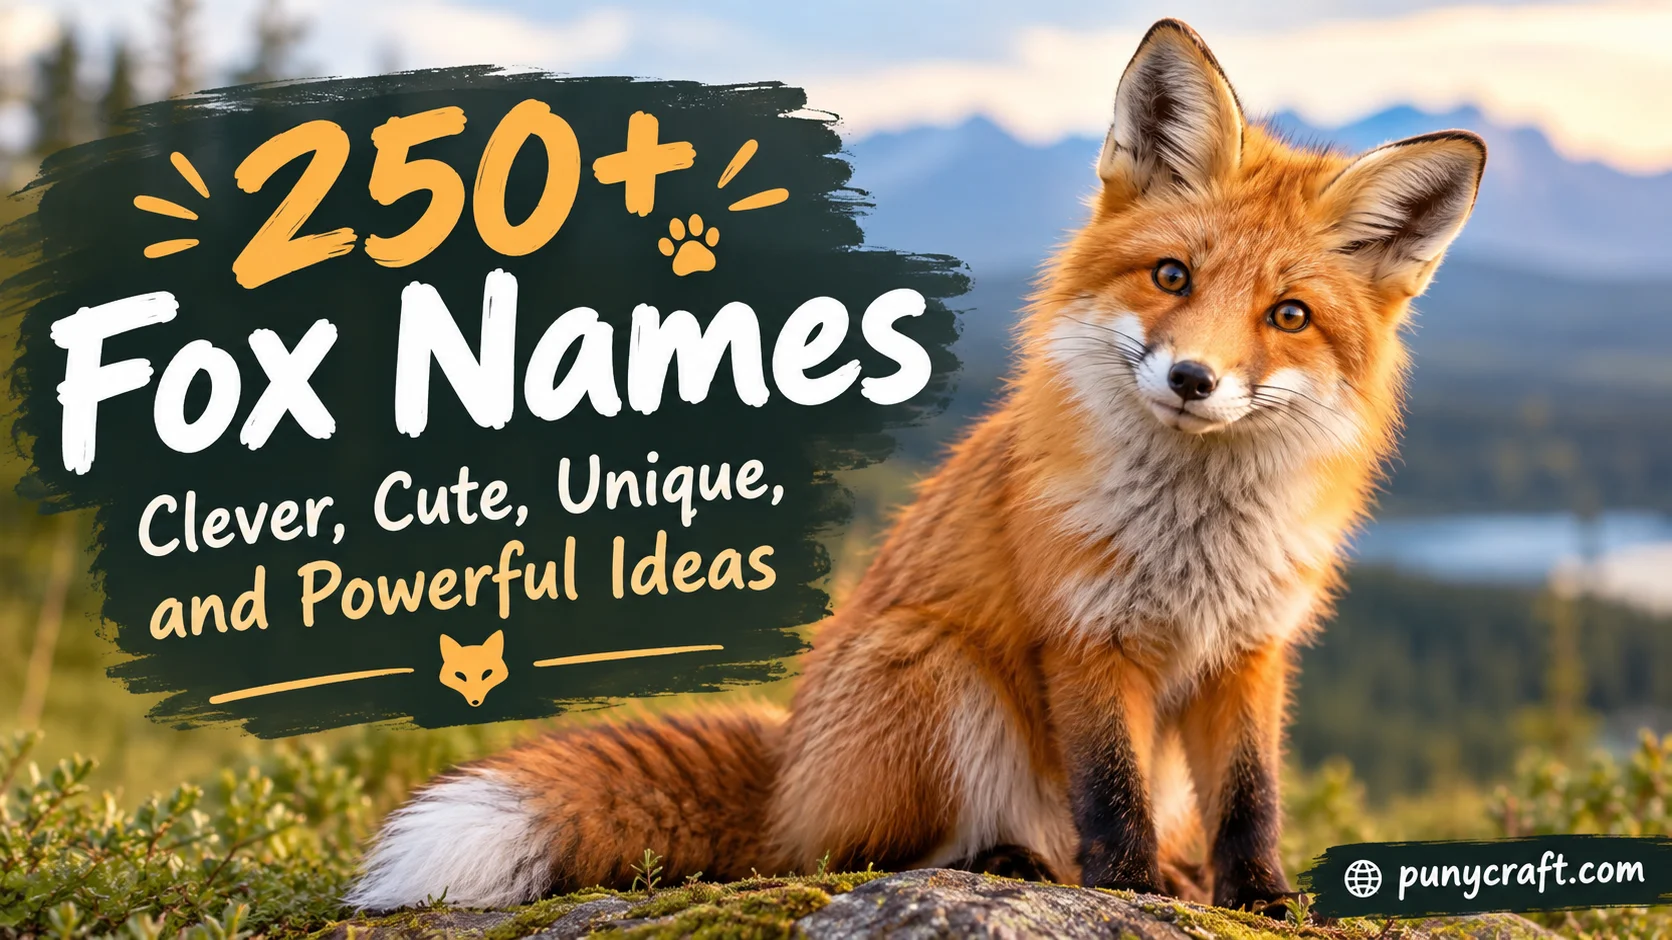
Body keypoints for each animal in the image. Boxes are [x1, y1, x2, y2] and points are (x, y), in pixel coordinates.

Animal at [347, 19, 1484, 913]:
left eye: (1287, 315)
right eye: (1172, 276)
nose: (1194, 379)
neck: (1193, 534)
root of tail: (787, 772)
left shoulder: (1249, 651)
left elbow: (1250, 800)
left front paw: (1258, 898)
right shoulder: (1086, 635)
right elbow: (1107, 792)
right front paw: (1129, 890)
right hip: (934, 671)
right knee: (867, 854)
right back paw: (1015, 861)